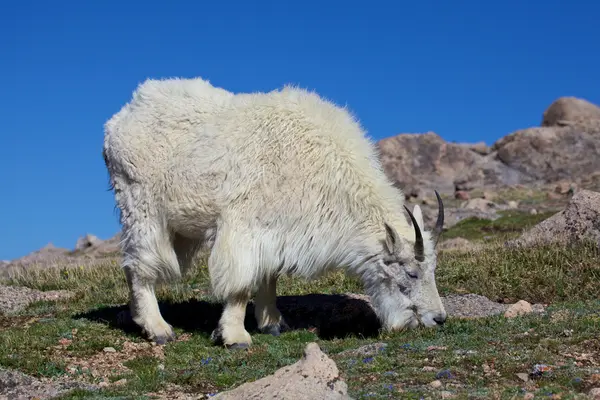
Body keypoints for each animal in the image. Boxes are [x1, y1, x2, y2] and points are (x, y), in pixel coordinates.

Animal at [103, 76, 448, 348]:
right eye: (412, 273)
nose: (438, 319)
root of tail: (119, 119)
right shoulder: (244, 227)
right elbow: (241, 284)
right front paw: (235, 336)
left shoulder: (277, 230)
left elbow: (270, 276)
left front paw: (271, 323)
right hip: (141, 205)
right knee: (139, 265)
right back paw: (157, 328)